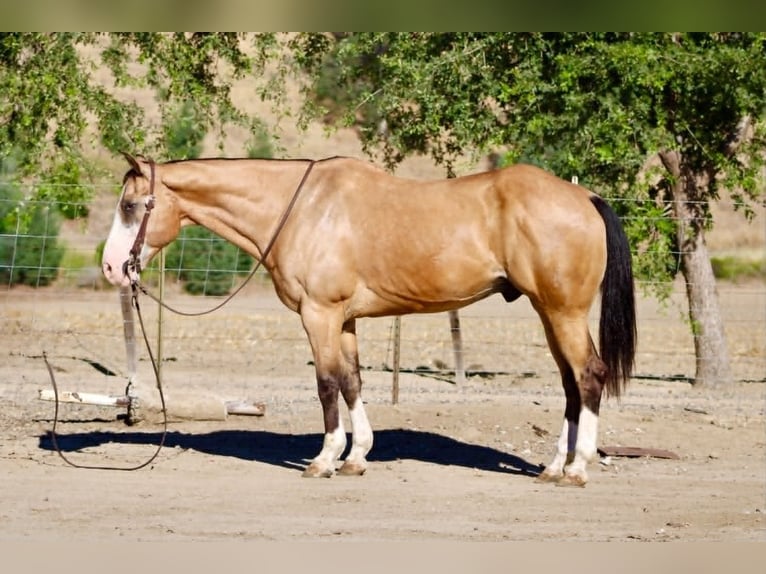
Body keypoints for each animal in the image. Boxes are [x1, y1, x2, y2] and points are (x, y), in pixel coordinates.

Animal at [101, 153, 636, 487]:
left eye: (130, 206)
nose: (111, 268)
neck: (303, 209)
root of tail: (584, 197)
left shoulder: (318, 314)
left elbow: (325, 385)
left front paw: (323, 460)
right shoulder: (345, 320)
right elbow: (352, 382)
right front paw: (356, 457)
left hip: (562, 312)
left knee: (589, 376)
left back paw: (577, 470)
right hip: (549, 313)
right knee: (571, 385)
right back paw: (554, 466)